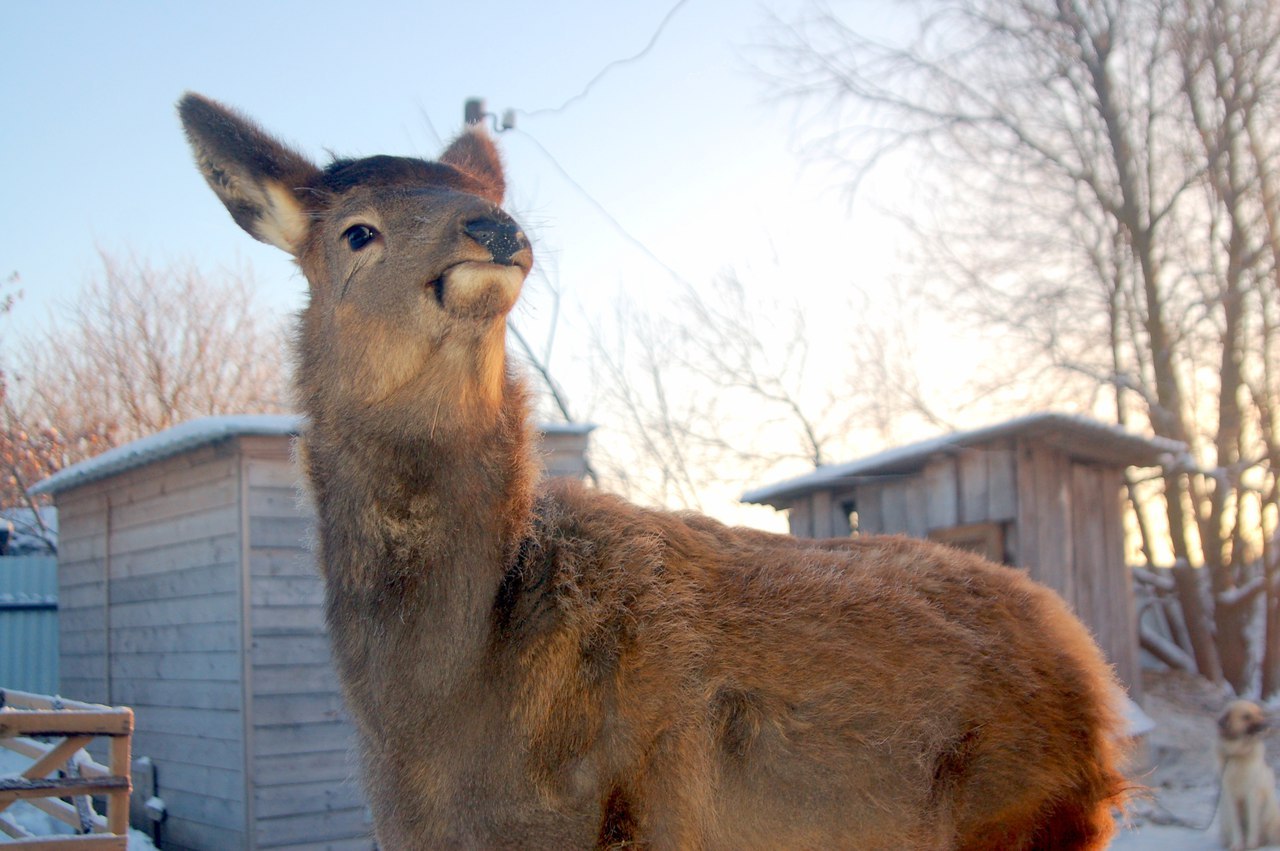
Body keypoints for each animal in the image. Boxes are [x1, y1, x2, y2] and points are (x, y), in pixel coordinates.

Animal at [177, 94, 1131, 849]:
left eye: (485, 195)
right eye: (357, 231)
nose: (495, 228)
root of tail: (1098, 684)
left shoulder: (648, 815)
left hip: (1028, 814)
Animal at [1213, 701, 1280, 844]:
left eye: (1260, 713)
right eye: (1246, 717)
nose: (1267, 724)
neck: (1237, 754)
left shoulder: (1253, 793)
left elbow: (1253, 823)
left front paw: (1251, 844)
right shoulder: (1231, 796)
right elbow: (1236, 825)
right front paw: (1237, 845)